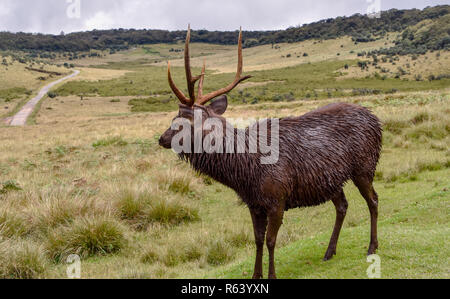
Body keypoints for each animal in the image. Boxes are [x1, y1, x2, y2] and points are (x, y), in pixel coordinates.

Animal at [158, 25, 380, 278]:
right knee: (342, 206)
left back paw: (372, 246)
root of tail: (377, 120)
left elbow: (272, 241)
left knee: (373, 200)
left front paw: (271, 274)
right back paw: (329, 251)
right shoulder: (254, 204)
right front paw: (256, 274)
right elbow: (257, 240)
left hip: (365, 166)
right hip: (331, 180)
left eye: (181, 121)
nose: (161, 138)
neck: (244, 173)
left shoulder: (277, 199)